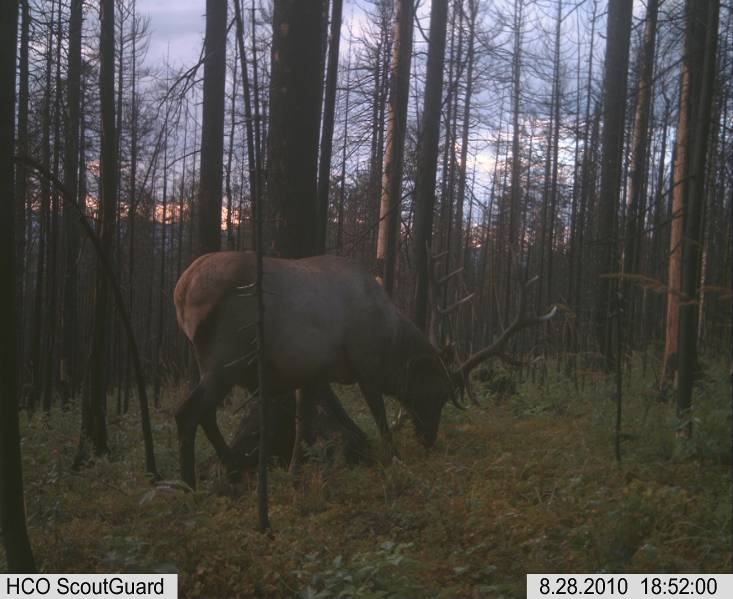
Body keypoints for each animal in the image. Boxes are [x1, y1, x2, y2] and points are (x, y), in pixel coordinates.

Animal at [174, 251, 556, 490]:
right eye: (437, 394)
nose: (429, 438)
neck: (391, 342)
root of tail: (182, 289)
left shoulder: (310, 373)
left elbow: (302, 425)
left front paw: (295, 471)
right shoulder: (365, 365)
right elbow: (381, 419)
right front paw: (396, 459)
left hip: (214, 361)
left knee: (205, 414)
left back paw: (229, 467)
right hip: (225, 356)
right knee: (187, 412)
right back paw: (189, 483)